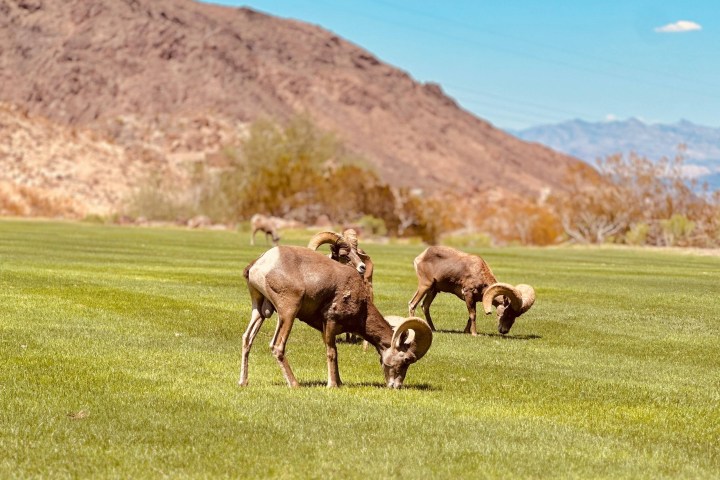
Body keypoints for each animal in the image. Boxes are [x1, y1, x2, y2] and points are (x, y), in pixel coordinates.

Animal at [240, 245, 433, 388]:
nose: (396, 386)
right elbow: (332, 352)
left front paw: (339, 382)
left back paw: (243, 382)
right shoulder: (331, 321)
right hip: (288, 312)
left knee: (247, 339)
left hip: (259, 310)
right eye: (407, 359)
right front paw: (332, 385)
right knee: (277, 346)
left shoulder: (325, 328)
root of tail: (260, 264)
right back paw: (294, 384)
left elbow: (334, 351)